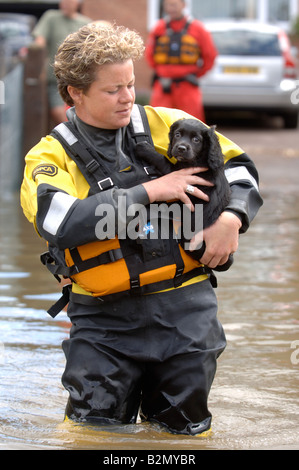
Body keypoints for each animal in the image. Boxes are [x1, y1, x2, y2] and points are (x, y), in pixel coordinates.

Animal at [136, 117, 234, 272]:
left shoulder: (177, 172)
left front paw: (144, 148)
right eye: (177, 135)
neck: (201, 160)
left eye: (196, 139)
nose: (181, 148)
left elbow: (163, 160)